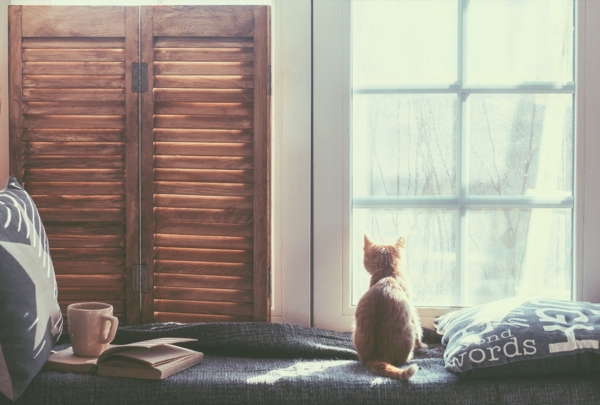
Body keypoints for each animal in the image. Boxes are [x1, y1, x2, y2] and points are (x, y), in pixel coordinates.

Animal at [354, 234, 424, 378]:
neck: (387, 270)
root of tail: (379, 356)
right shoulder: (411, 306)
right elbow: (419, 328)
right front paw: (421, 345)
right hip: (410, 330)